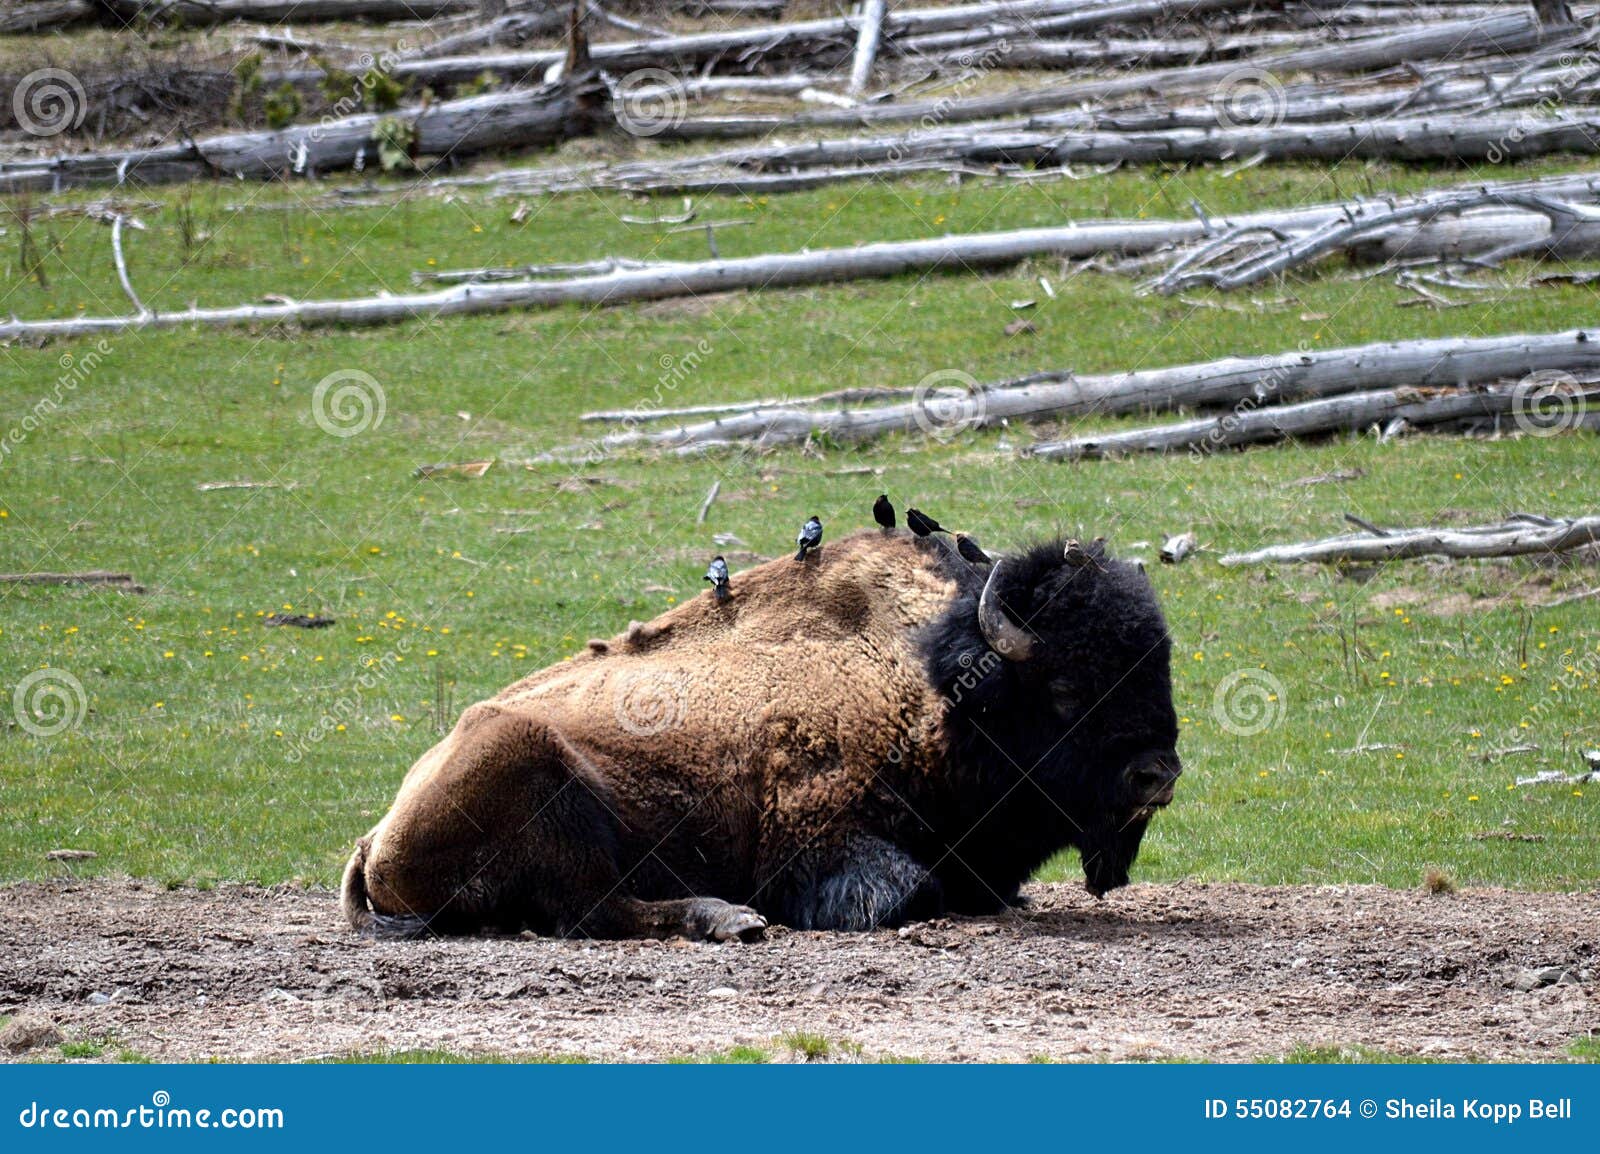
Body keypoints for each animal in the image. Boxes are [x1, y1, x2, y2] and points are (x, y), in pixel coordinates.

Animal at [344, 528, 1184, 934]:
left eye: (1158, 668)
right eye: (1067, 688)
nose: (1157, 773)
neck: (932, 686)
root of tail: (375, 835)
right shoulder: (819, 839)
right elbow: (911, 889)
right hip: (536, 775)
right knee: (594, 909)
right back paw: (730, 919)